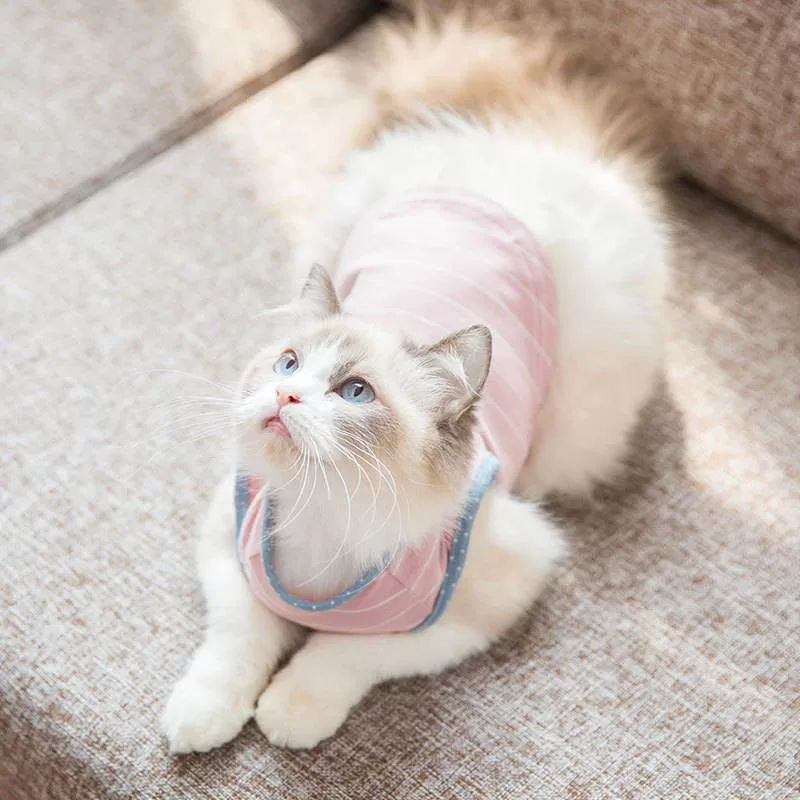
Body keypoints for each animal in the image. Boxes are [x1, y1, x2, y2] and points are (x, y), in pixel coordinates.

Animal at [161, 9, 668, 752]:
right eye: (289, 365)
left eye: (355, 393)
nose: (285, 395)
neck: (326, 517)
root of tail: (506, 151)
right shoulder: (228, 543)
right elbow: (238, 642)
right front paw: (202, 716)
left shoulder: (474, 609)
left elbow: (341, 651)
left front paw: (291, 713)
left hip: (577, 436)